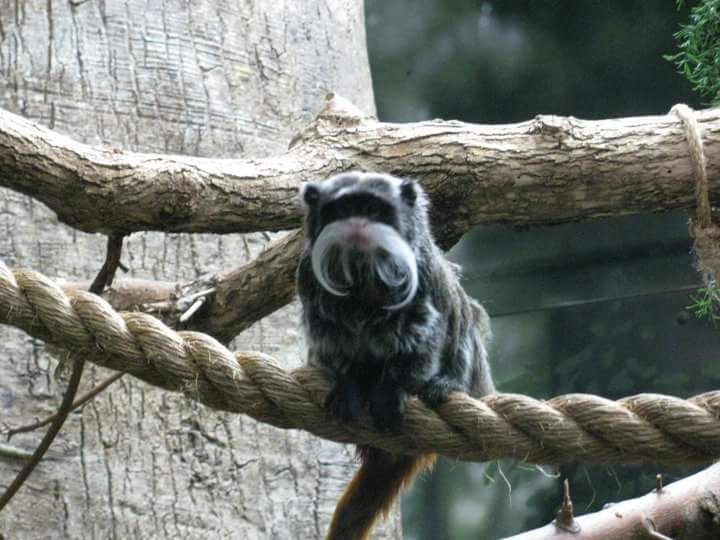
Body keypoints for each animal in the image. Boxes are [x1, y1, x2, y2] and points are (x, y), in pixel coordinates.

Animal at [297, 171, 494, 540]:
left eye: (374, 210)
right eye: (343, 210)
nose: (358, 225)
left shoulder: (421, 272)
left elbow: (423, 335)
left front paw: (391, 394)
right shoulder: (307, 276)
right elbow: (330, 339)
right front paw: (348, 389)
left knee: (464, 316)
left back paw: (446, 385)